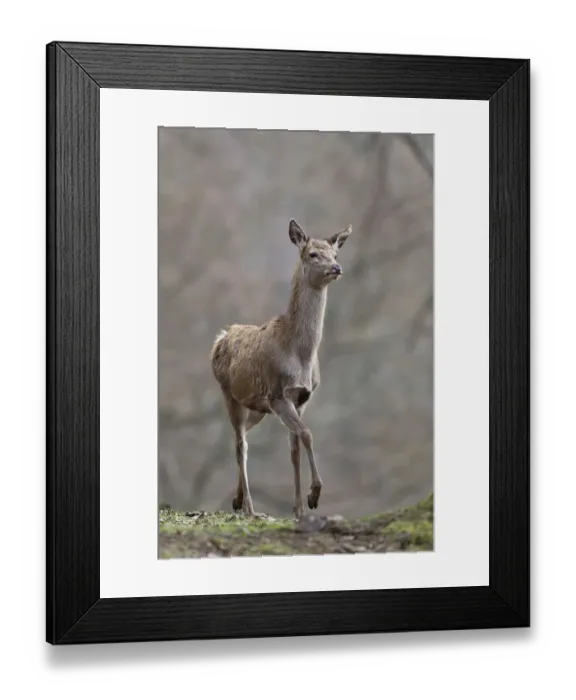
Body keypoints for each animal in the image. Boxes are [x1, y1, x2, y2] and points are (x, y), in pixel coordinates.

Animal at [210, 219, 352, 519]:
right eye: (313, 254)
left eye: (335, 253)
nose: (336, 268)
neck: (301, 355)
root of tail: (220, 338)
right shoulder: (278, 394)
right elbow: (307, 434)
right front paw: (314, 495)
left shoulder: (302, 398)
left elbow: (295, 447)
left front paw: (299, 508)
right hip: (229, 392)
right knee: (240, 444)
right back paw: (250, 507)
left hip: (257, 407)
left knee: (243, 436)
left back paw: (238, 499)